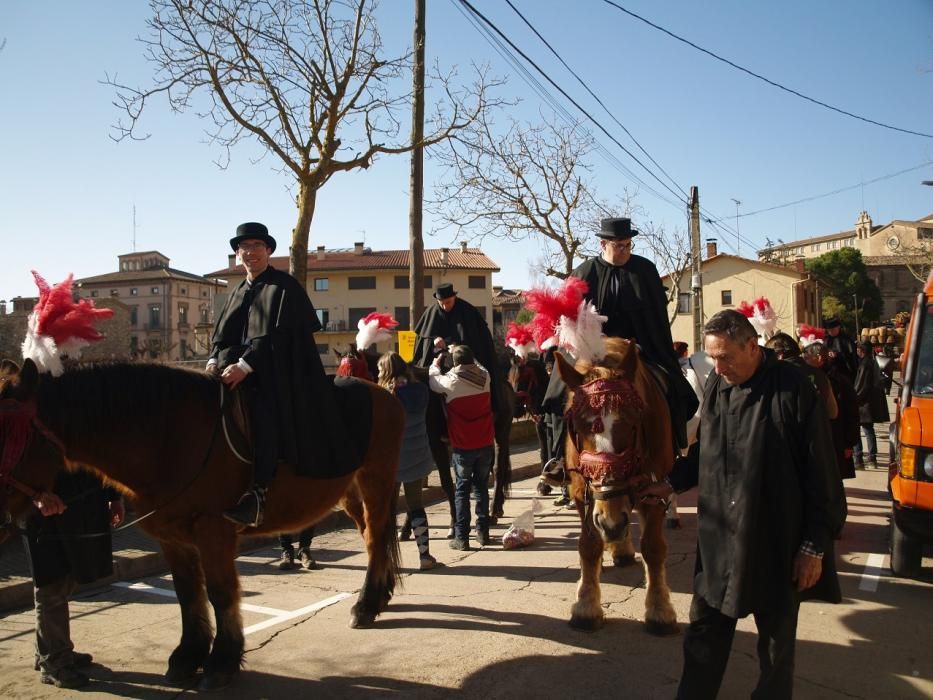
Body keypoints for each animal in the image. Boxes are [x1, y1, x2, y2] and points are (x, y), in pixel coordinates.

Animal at [0, 360, 404, 688]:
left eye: (10, 437)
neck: (167, 436)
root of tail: (382, 394)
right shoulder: (172, 538)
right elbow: (187, 594)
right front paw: (187, 655)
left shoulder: (213, 531)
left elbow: (221, 593)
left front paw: (222, 661)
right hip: (350, 491)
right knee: (374, 536)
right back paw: (380, 596)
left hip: (375, 481)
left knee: (375, 539)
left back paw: (366, 606)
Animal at [552, 338, 676, 636]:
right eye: (577, 427)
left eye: (632, 424)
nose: (610, 522)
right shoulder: (581, 493)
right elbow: (588, 545)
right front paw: (586, 605)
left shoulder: (654, 489)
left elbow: (653, 547)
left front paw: (659, 609)